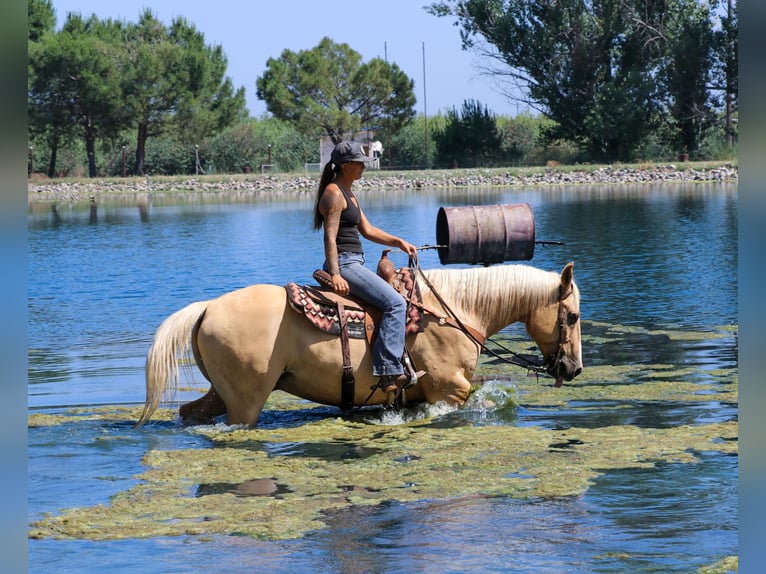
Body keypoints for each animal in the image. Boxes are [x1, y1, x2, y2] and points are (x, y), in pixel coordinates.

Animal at [137, 262, 582, 427]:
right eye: (574, 316)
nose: (574, 368)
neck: (454, 310)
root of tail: (208, 308)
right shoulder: (448, 390)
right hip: (246, 402)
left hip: (220, 393)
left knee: (191, 413)